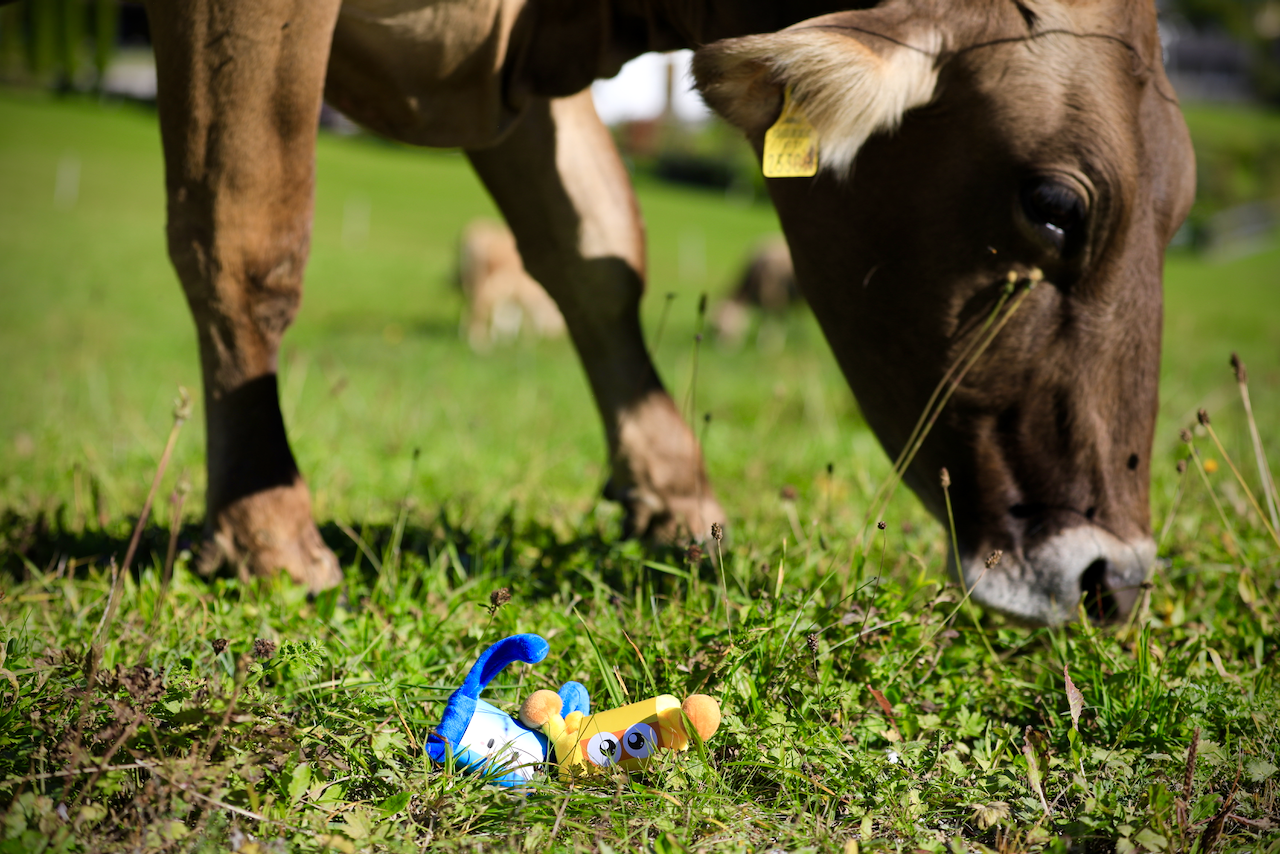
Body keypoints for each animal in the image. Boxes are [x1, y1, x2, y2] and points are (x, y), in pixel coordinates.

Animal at [455, 222, 565, 353]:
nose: (556, 335)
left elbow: (509, 315)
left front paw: (505, 340)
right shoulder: (525, 294)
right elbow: (522, 317)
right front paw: (527, 342)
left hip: (471, 280)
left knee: (470, 307)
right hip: (486, 283)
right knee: (480, 307)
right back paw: (480, 345)